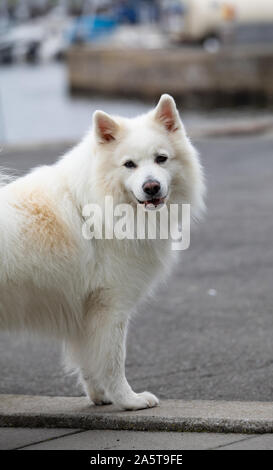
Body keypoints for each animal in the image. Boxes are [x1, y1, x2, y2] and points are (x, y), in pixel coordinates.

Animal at [0, 93, 204, 410]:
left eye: (161, 159)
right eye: (129, 165)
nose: (151, 187)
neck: (97, 207)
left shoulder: (85, 314)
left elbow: (90, 364)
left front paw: (101, 397)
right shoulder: (111, 306)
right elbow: (113, 361)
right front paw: (129, 400)